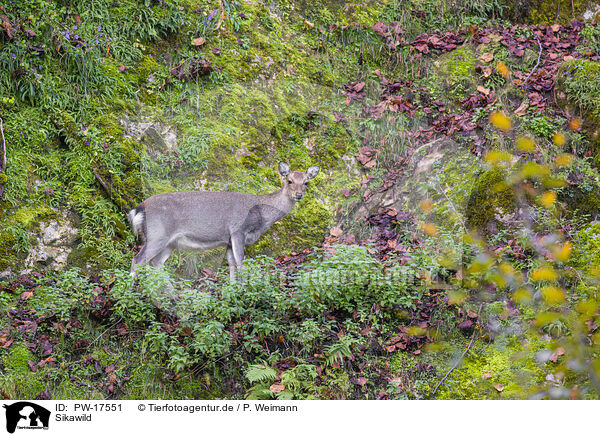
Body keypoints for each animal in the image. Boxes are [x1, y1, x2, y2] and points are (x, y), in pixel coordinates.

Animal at [126, 163, 318, 280]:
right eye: (289, 180)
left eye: (306, 183)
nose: (298, 195)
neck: (261, 218)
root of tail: (139, 208)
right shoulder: (238, 230)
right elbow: (240, 263)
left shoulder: (228, 240)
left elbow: (232, 265)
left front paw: (232, 290)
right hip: (157, 234)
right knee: (138, 260)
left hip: (169, 242)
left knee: (155, 264)